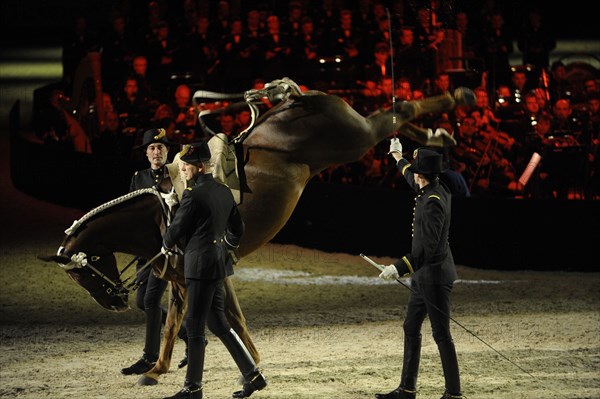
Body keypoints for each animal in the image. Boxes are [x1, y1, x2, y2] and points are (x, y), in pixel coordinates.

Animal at [39, 76, 476, 386]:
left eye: (84, 270)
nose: (112, 301)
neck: (161, 212)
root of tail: (296, 98)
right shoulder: (185, 279)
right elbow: (179, 323)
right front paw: (158, 368)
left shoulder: (204, 272)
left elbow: (223, 322)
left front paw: (251, 368)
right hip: (357, 138)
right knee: (395, 118)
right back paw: (437, 136)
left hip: (354, 139)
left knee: (399, 109)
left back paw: (459, 99)